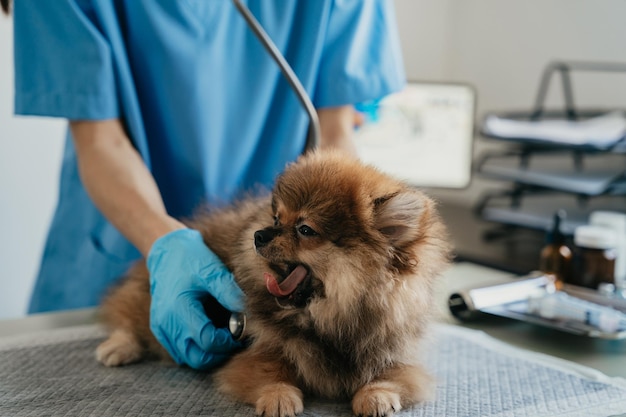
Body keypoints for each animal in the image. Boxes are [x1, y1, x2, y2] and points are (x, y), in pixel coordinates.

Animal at [95, 150, 450, 416]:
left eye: (305, 229)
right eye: (278, 218)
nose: (259, 234)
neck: (329, 322)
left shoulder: (392, 352)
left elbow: (390, 376)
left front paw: (376, 395)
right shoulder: (259, 349)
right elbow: (271, 372)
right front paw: (279, 397)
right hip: (151, 302)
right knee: (128, 315)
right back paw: (119, 347)